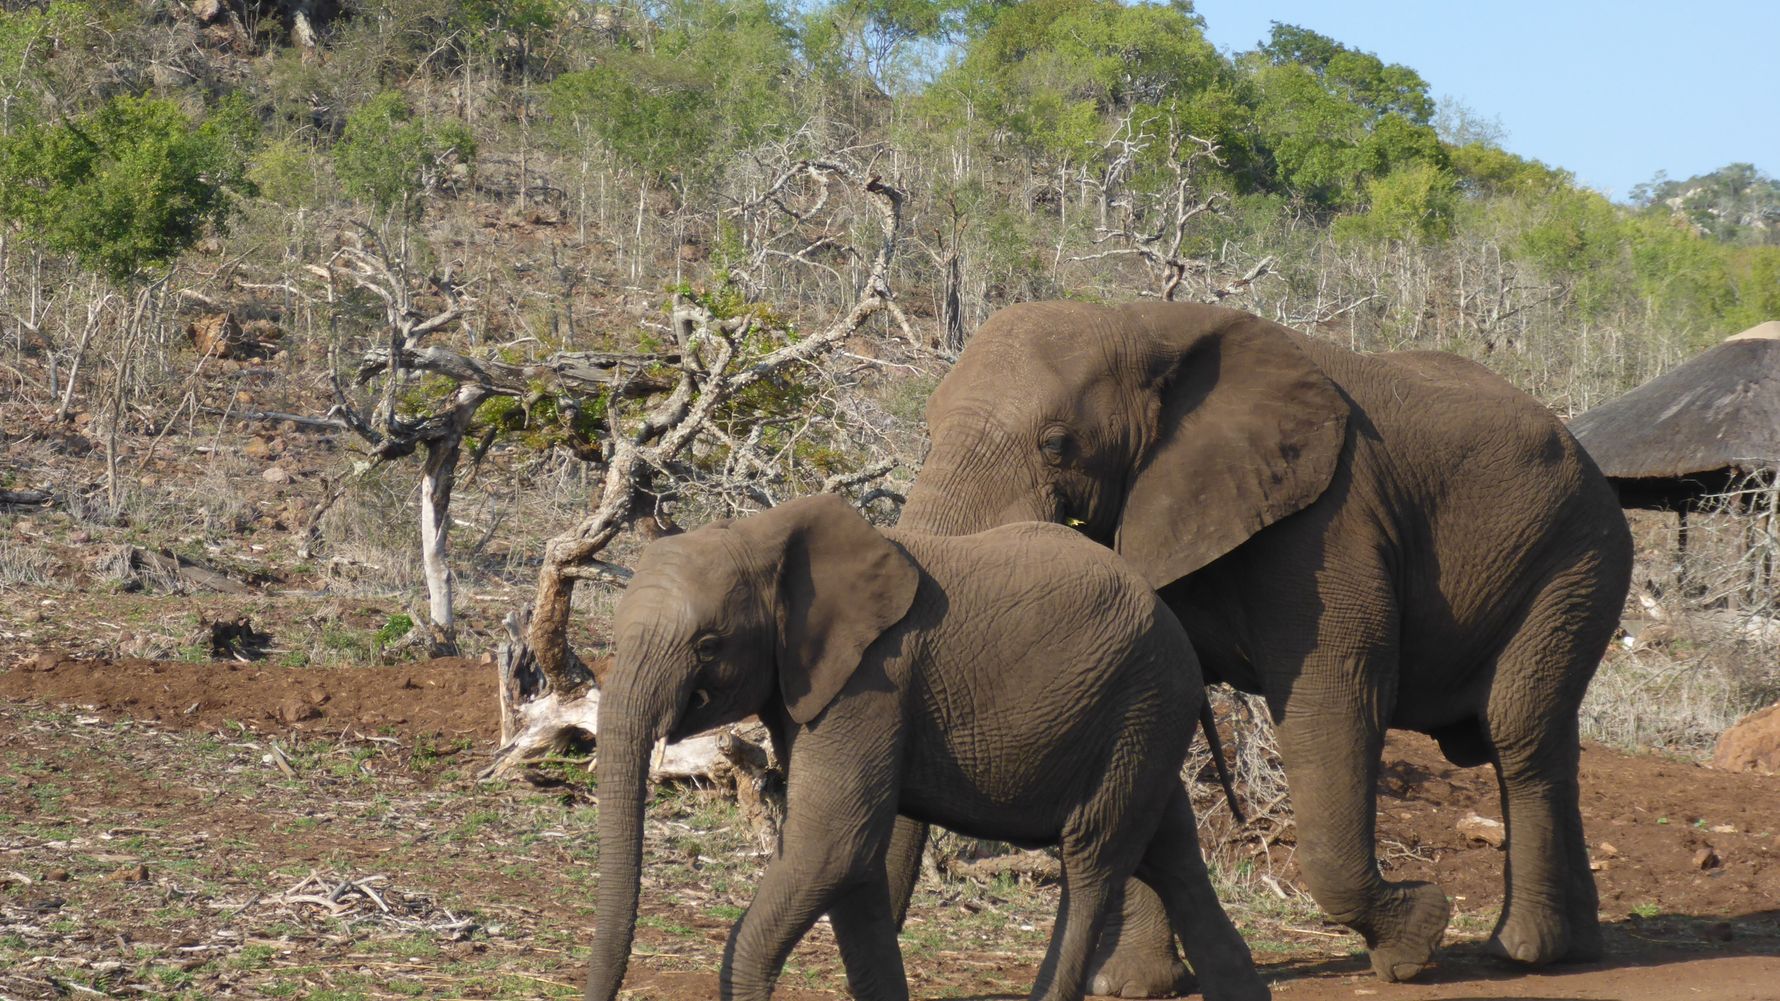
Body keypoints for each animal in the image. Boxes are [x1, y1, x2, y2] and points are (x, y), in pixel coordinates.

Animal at [584, 494, 1269, 1001]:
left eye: (708, 645)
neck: (765, 534)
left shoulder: (870, 682)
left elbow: (832, 846)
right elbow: (852, 861)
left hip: (1140, 702)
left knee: (1094, 859)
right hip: (1145, 721)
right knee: (1169, 848)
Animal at [892, 300, 1633, 988]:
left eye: (1056, 445)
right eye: (924, 429)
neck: (1143, 323)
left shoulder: (1327, 522)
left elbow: (1331, 699)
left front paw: (1415, 942)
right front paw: (1133, 986)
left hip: (1579, 558)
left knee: (1517, 730)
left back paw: (1523, 950)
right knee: (1551, 738)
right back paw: (1579, 949)